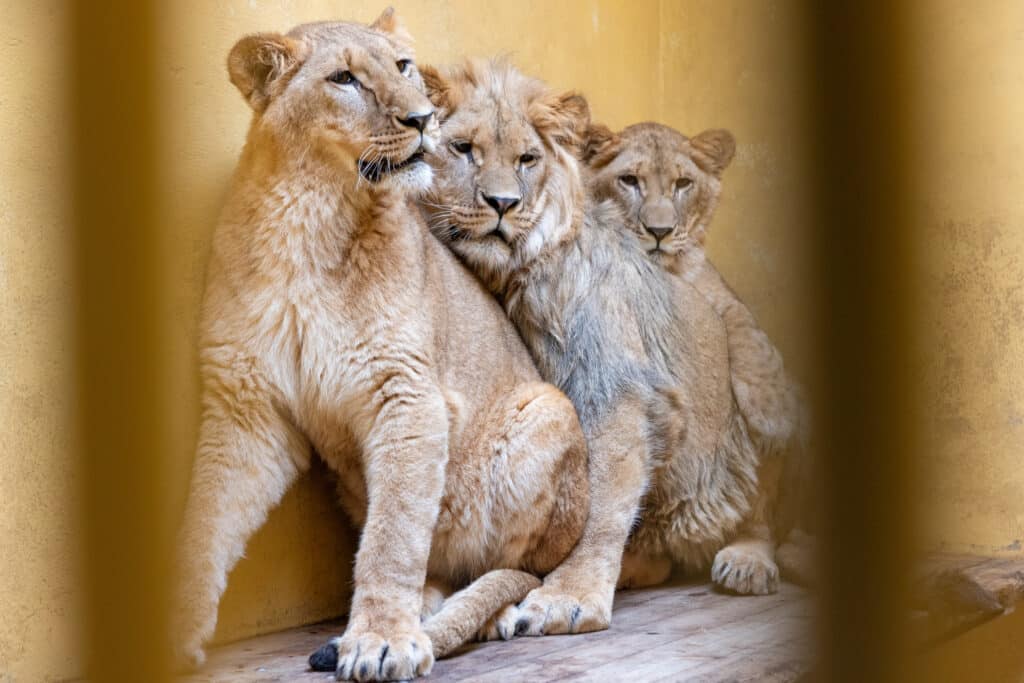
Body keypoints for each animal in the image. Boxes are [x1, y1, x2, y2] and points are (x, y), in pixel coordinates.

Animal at [175, 13, 585, 679]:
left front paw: (382, 640)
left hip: (547, 409)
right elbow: (204, 521)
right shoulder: (247, 408)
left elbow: (393, 536)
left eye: (403, 67)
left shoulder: (407, 395)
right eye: (344, 79)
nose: (423, 119)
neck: (308, 221)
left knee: (520, 568)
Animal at [419, 60, 778, 643]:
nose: (503, 205)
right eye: (463, 149)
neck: (512, 276)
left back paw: (747, 559)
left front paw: (567, 597)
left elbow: (602, 505)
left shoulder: (613, 388)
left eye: (527, 159)